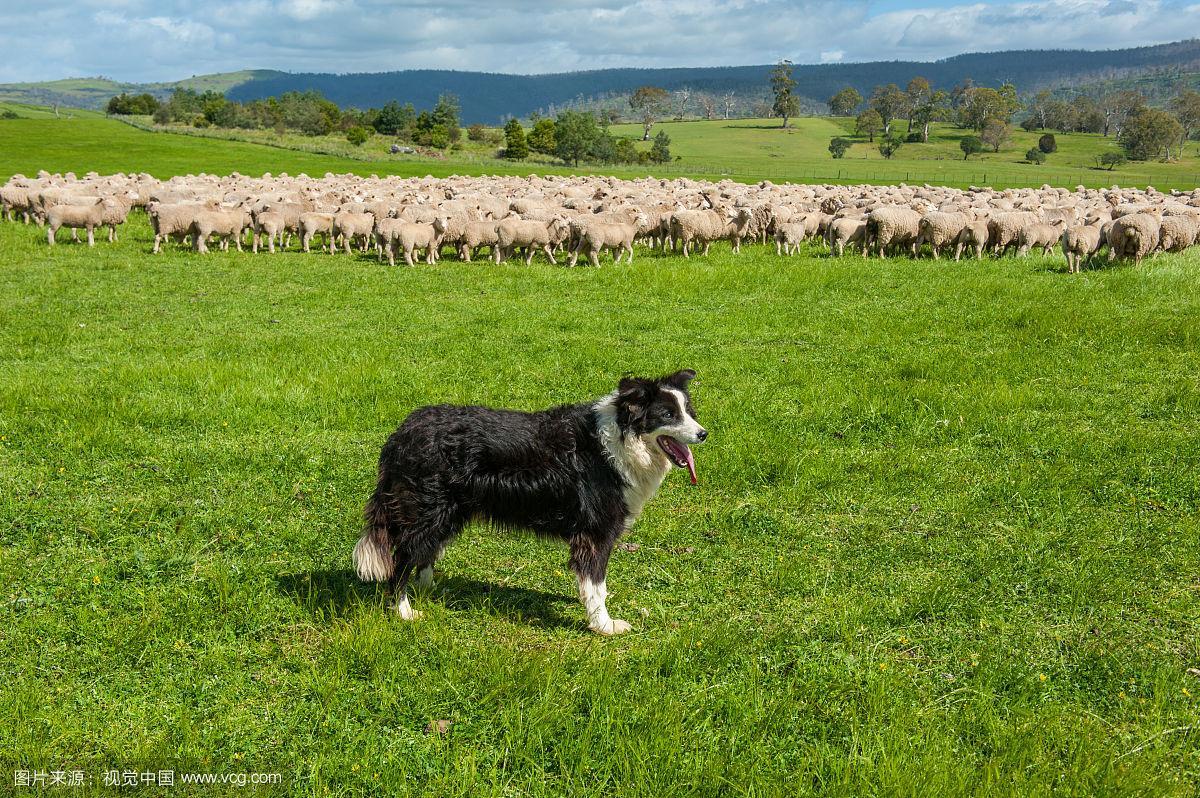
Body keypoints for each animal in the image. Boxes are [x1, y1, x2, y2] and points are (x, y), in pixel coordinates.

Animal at [350, 369, 705, 633]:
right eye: (668, 414)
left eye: (689, 412)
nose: (703, 434)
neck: (619, 440)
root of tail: (403, 431)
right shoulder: (596, 532)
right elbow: (596, 582)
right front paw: (602, 624)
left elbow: (593, 583)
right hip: (429, 509)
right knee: (401, 559)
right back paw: (404, 610)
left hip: (449, 511)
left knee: (425, 551)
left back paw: (428, 589)